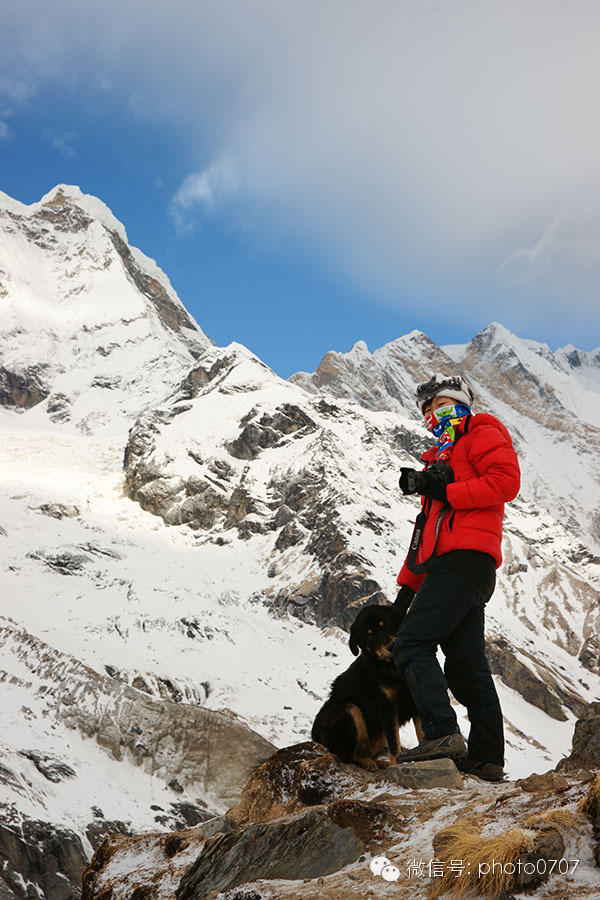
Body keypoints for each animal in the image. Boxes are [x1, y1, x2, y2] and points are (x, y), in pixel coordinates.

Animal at [312, 604, 424, 768]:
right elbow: (394, 744)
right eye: (369, 635)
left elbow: (423, 733)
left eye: (386, 624)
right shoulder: (387, 707)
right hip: (348, 709)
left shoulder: (416, 698)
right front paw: (397, 765)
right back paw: (367, 762)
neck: (393, 667)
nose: (391, 646)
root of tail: (315, 739)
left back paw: (380, 763)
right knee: (344, 756)